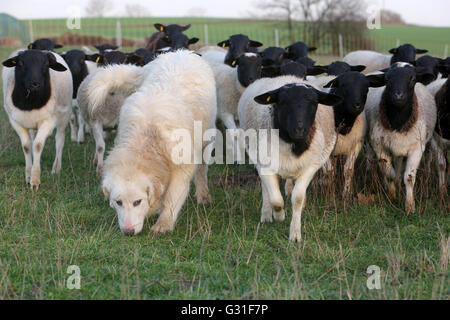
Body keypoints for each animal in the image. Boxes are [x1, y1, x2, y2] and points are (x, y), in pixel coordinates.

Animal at [1, 50, 72, 190]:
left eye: (46, 64)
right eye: (21, 63)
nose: (35, 84)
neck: (30, 103)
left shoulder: (48, 121)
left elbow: (38, 145)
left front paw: (35, 181)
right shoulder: (15, 122)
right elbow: (27, 146)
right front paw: (28, 176)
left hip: (64, 116)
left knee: (59, 140)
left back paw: (56, 168)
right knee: (33, 139)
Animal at [101, 50, 217, 235]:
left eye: (137, 202)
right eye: (118, 202)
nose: (128, 232)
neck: (146, 138)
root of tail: (180, 52)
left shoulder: (182, 167)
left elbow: (172, 197)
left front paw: (164, 223)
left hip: (206, 139)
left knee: (201, 170)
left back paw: (203, 194)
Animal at [239, 76, 342, 241]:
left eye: (314, 103)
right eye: (282, 102)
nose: (299, 129)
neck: (293, 144)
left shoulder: (310, 167)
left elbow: (297, 198)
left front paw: (295, 233)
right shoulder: (265, 164)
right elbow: (276, 200)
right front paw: (279, 216)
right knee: (266, 189)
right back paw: (266, 214)